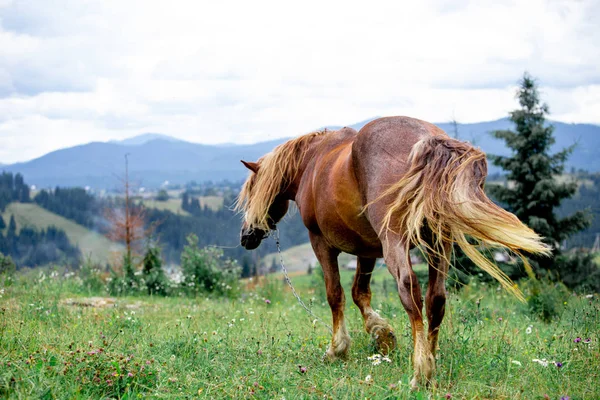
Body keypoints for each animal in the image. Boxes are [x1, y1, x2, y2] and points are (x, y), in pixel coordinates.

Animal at [233, 115, 548, 388]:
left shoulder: (321, 242)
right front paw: (382, 335)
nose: (246, 236)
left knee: (410, 290)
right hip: (438, 245)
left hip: (396, 241)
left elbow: (335, 294)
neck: (313, 162)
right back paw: (431, 360)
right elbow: (360, 293)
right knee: (436, 298)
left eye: (250, 192)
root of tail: (427, 139)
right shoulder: (367, 250)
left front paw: (338, 349)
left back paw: (420, 372)